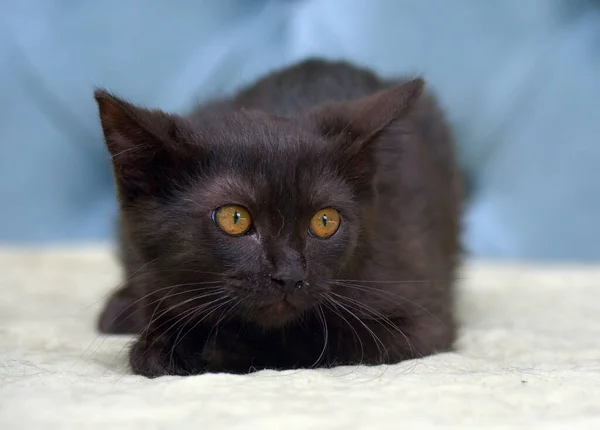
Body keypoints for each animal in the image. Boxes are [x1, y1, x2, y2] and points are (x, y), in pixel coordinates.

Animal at [94, 58, 462, 376]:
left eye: (325, 221)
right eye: (234, 218)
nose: (289, 276)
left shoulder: (420, 317)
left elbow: (315, 338)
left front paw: (208, 347)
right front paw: (165, 340)